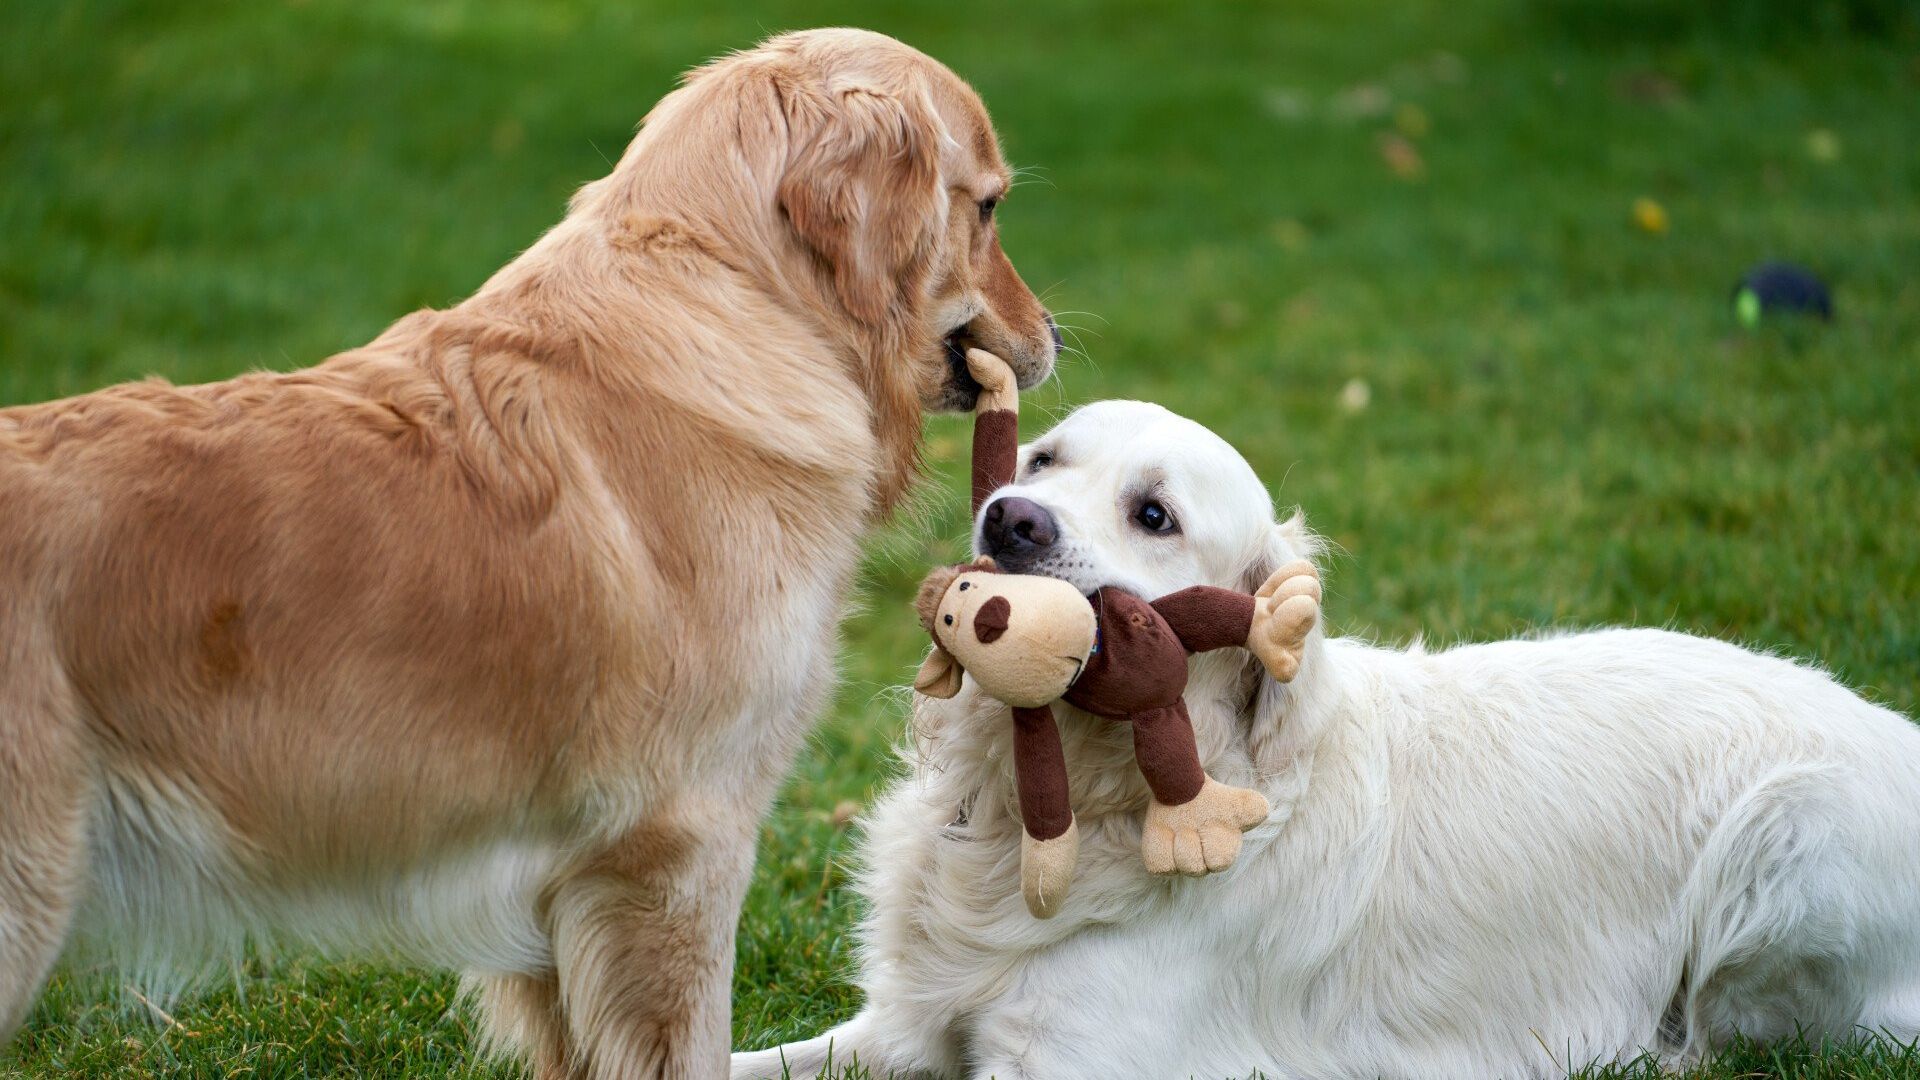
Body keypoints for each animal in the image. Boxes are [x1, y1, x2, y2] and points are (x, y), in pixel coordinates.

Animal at [733, 399, 1920, 1068]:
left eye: (1154, 516)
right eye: (1043, 462)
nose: (1008, 521)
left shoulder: (1073, 1060)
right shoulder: (899, 1028)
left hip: (1787, 843)